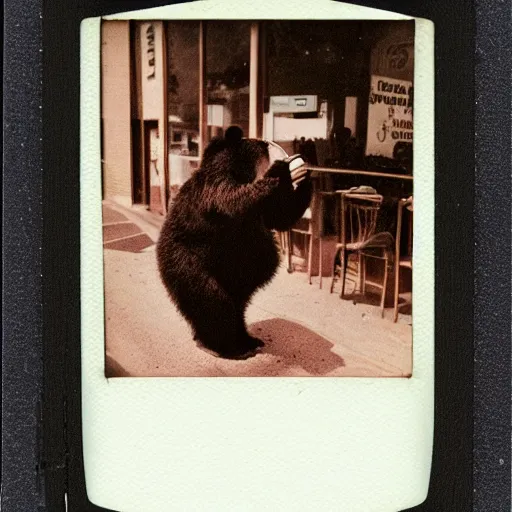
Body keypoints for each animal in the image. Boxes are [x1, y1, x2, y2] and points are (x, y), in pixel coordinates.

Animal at [156, 127, 312, 360]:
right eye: (265, 144)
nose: (280, 150)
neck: (240, 172)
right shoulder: (212, 190)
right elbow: (232, 199)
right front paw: (280, 170)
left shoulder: (258, 213)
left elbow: (280, 215)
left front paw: (305, 176)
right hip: (187, 260)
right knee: (212, 300)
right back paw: (226, 346)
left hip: (237, 272)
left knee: (239, 304)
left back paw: (247, 339)